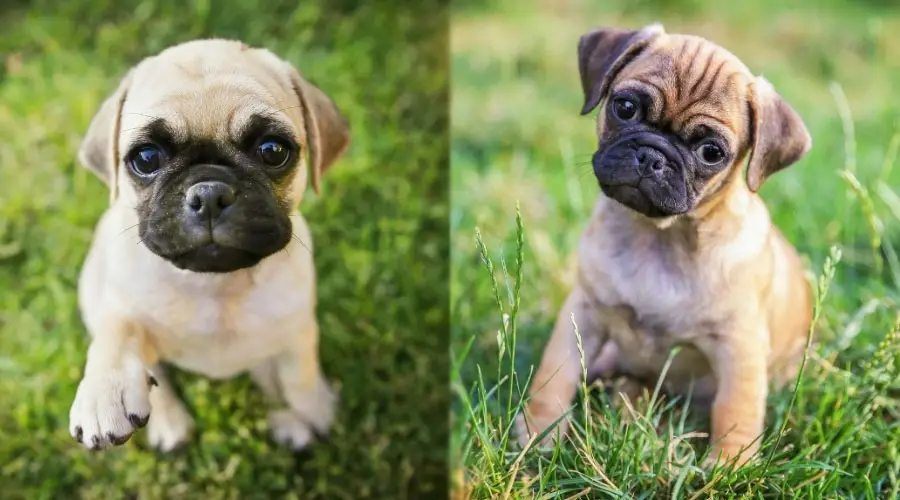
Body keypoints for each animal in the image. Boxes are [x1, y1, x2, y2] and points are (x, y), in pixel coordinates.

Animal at [65, 40, 348, 454]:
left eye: (272, 150)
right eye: (146, 158)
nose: (210, 192)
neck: (216, 285)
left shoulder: (298, 332)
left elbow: (300, 376)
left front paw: (312, 409)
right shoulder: (122, 311)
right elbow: (117, 334)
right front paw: (105, 391)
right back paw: (169, 423)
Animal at [512, 24, 816, 468]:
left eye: (711, 152)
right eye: (624, 108)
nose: (652, 155)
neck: (658, 236)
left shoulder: (739, 349)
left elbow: (735, 411)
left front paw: (728, 466)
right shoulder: (583, 313)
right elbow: (555, 376)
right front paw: (536, 435)